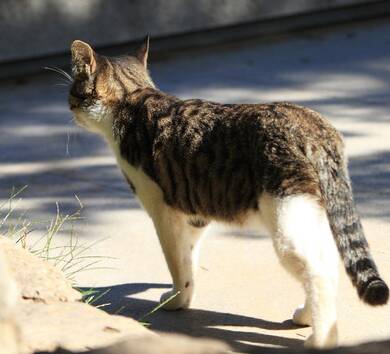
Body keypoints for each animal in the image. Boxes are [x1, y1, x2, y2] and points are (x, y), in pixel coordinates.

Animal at [68, 37, 386, 348]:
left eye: (72, 91)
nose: (69, 107)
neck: (132, 98)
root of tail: (314, 125)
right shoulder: (194, 214)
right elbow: (189, 259)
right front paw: (185, 297)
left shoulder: (164, 212)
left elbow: (175, 261)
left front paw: (175, 301)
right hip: (312, 215)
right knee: (328, 265)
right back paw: (306, 317)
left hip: (287, 221)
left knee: (319, 273)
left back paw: (321, 339)